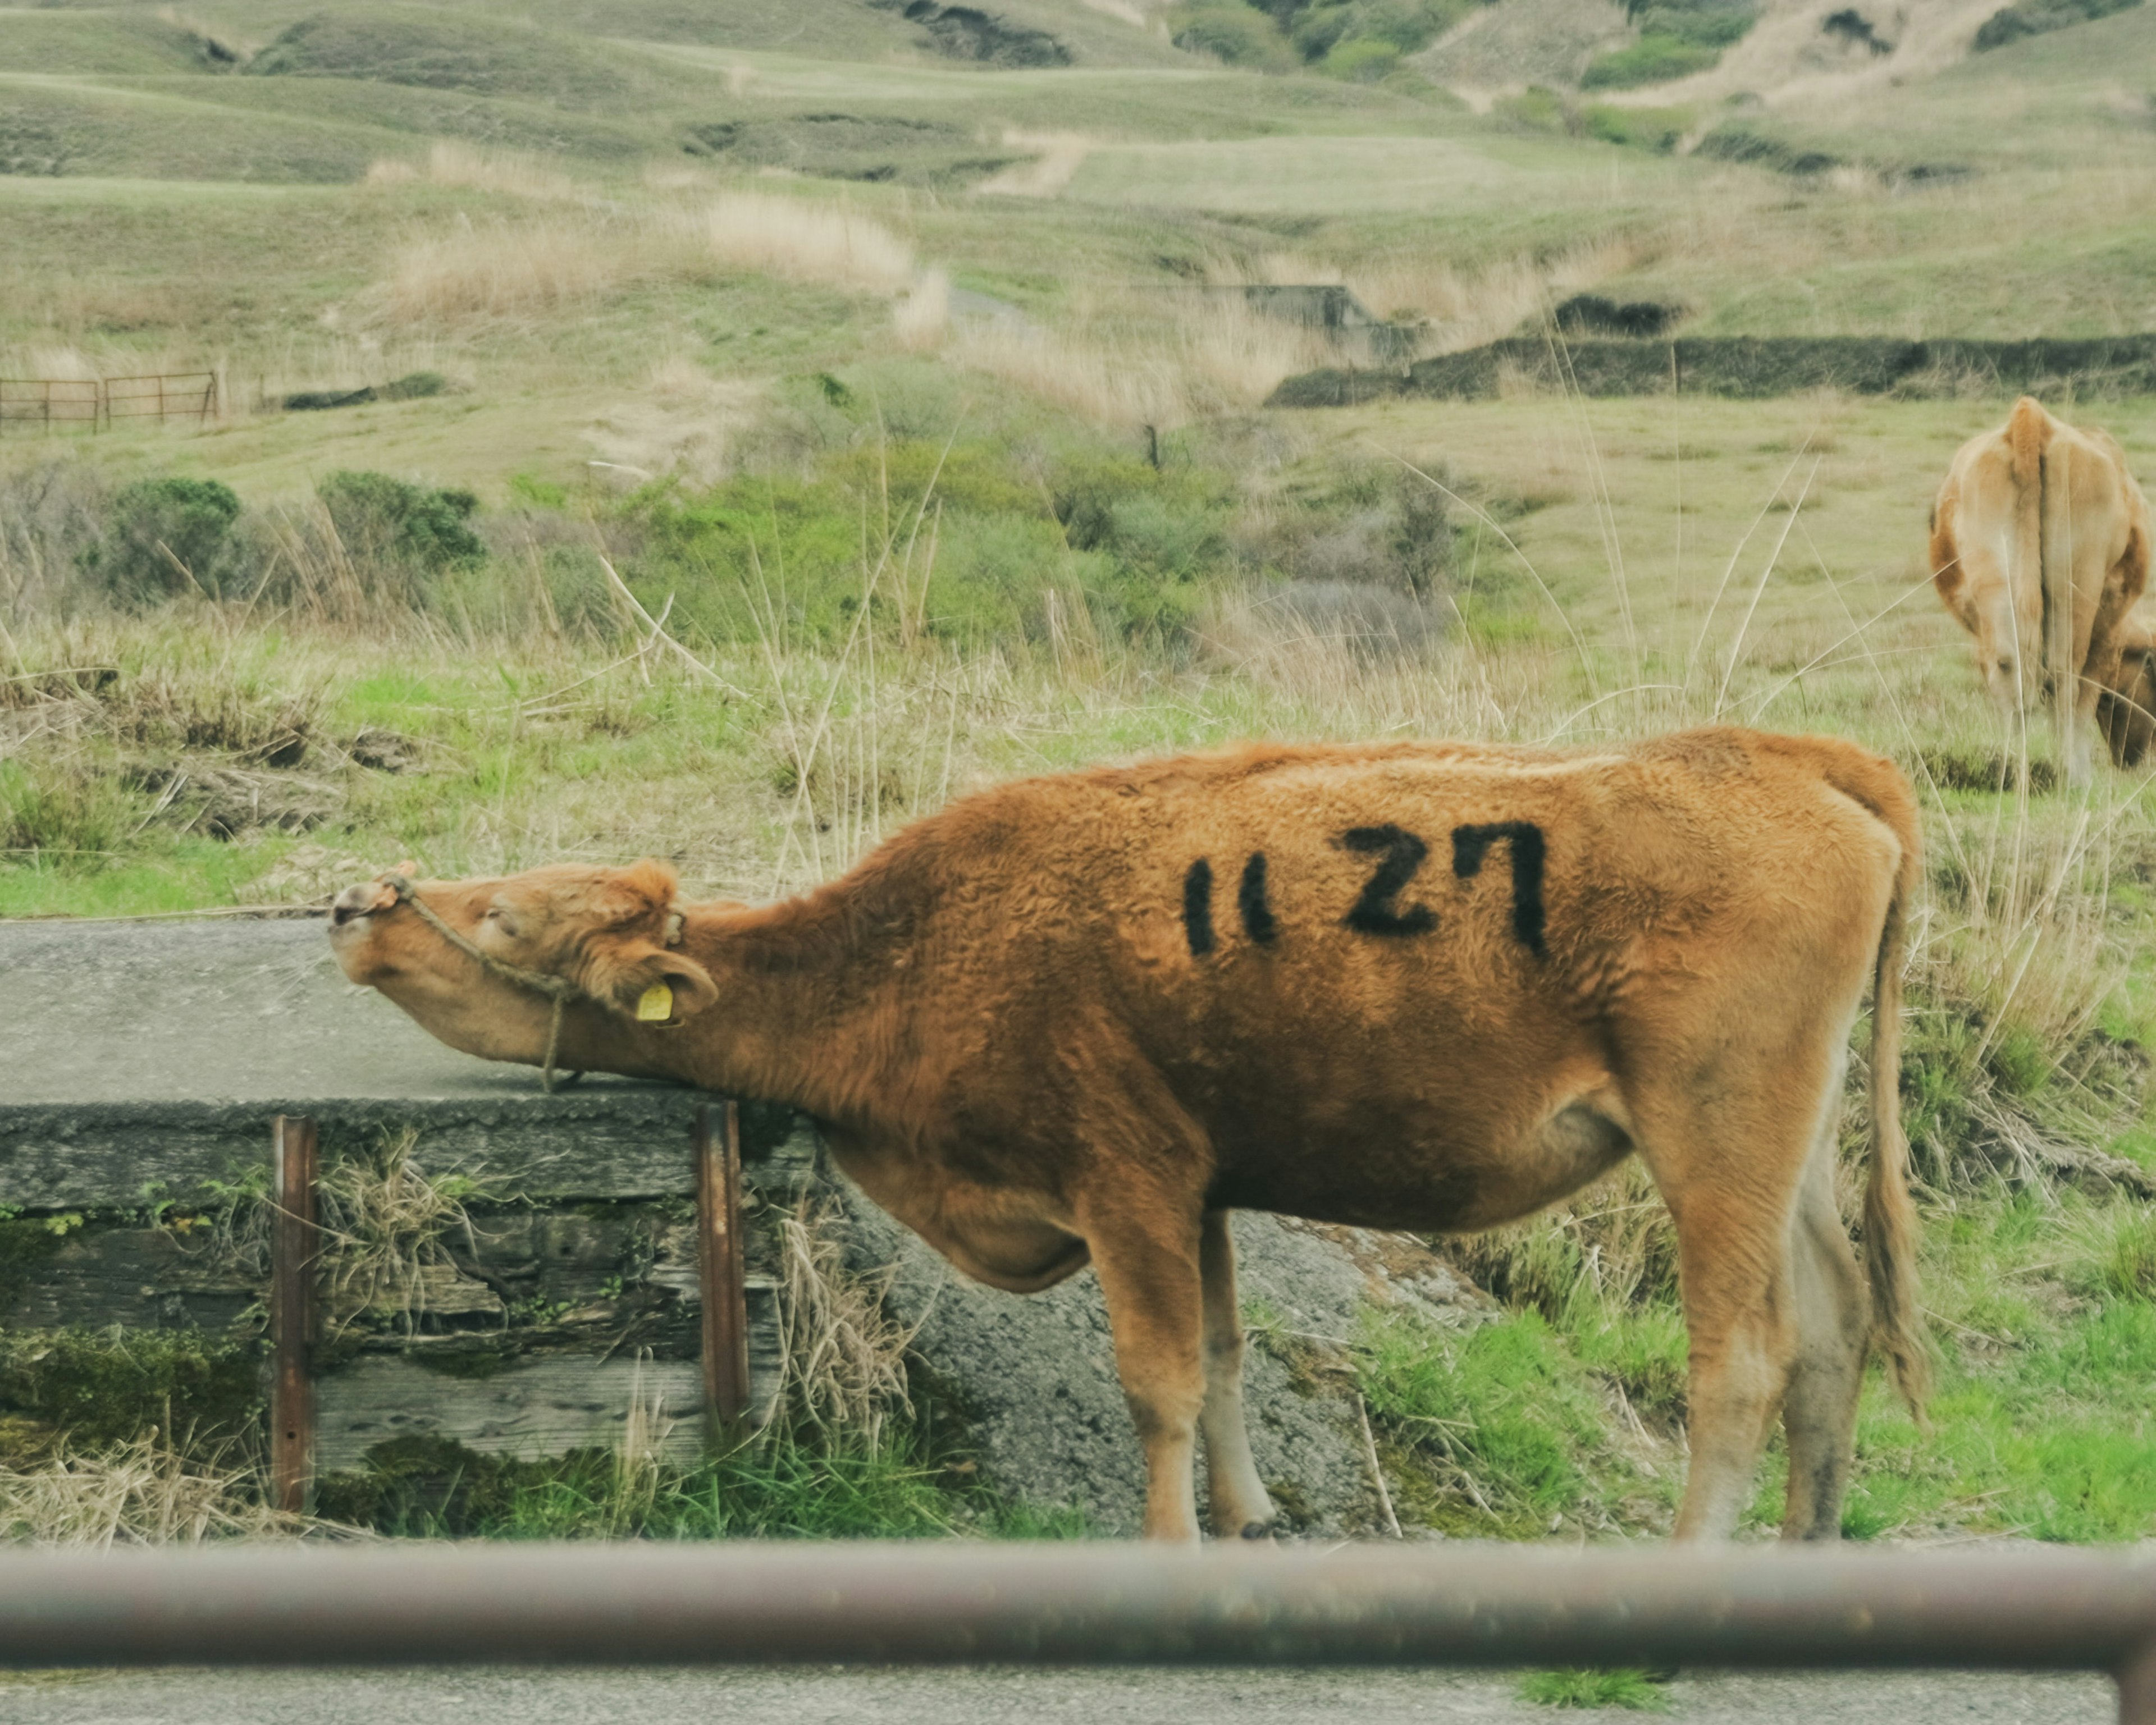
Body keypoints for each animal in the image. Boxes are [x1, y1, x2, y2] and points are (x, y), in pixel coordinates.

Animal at [327, 729, 1931, 1552]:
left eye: (505, 919)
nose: (354, 904)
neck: (911, 951)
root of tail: (1790, 758)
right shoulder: (1203, 1186)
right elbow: (1219, 1356)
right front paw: (1252, 1514)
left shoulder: (1125, 1179)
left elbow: (1154, 1379)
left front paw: (1172, 1544)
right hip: (1781, 1147)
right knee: (1837, 1324)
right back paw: (1806, 1548)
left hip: (1712, 1134)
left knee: (1742, 1358)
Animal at [1931, 396, 2147, 780]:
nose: (2132, 760)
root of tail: (2032, 418)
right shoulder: (2108, 637)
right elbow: (2087, 694)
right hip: (2076, 591)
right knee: (2064, 679)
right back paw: (2071, 776)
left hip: (1998, 584)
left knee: (2011, 670)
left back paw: (2012, 771)